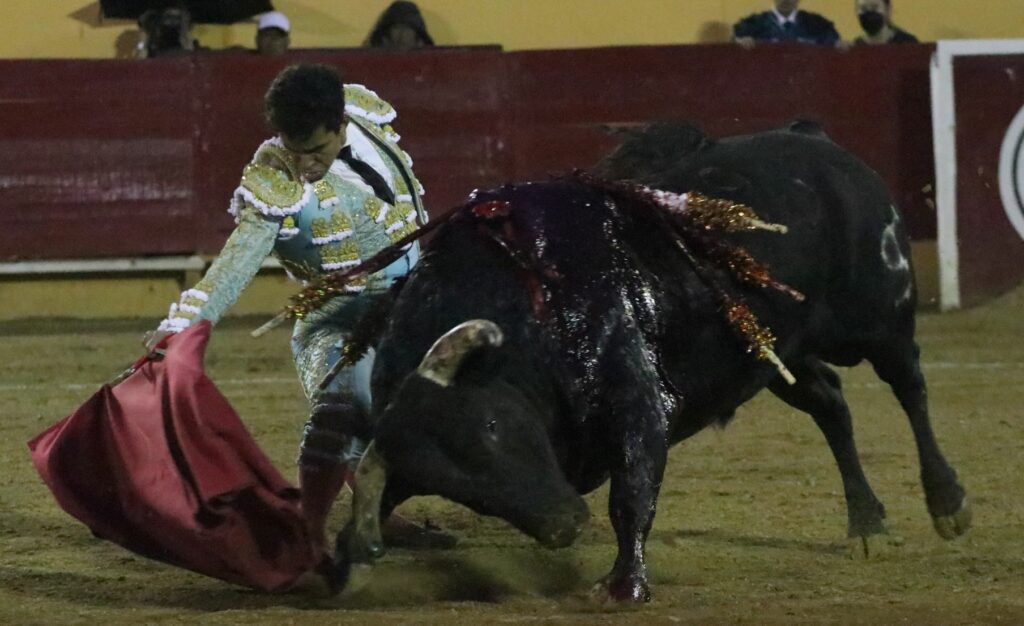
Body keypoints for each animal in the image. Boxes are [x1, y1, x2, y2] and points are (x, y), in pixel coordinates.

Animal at [332, 121, 971, 602]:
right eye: (453, 486)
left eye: (491, 425)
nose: (564, 523)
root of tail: (815, 141)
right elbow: (374, 499)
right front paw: (342, 561)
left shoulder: (638, 404)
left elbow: (631, 493)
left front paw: (625, 585)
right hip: (772, 354)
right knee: (832, 403)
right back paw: (868, 524)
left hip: (878, 317)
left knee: (909, 387)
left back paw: (948, 504)